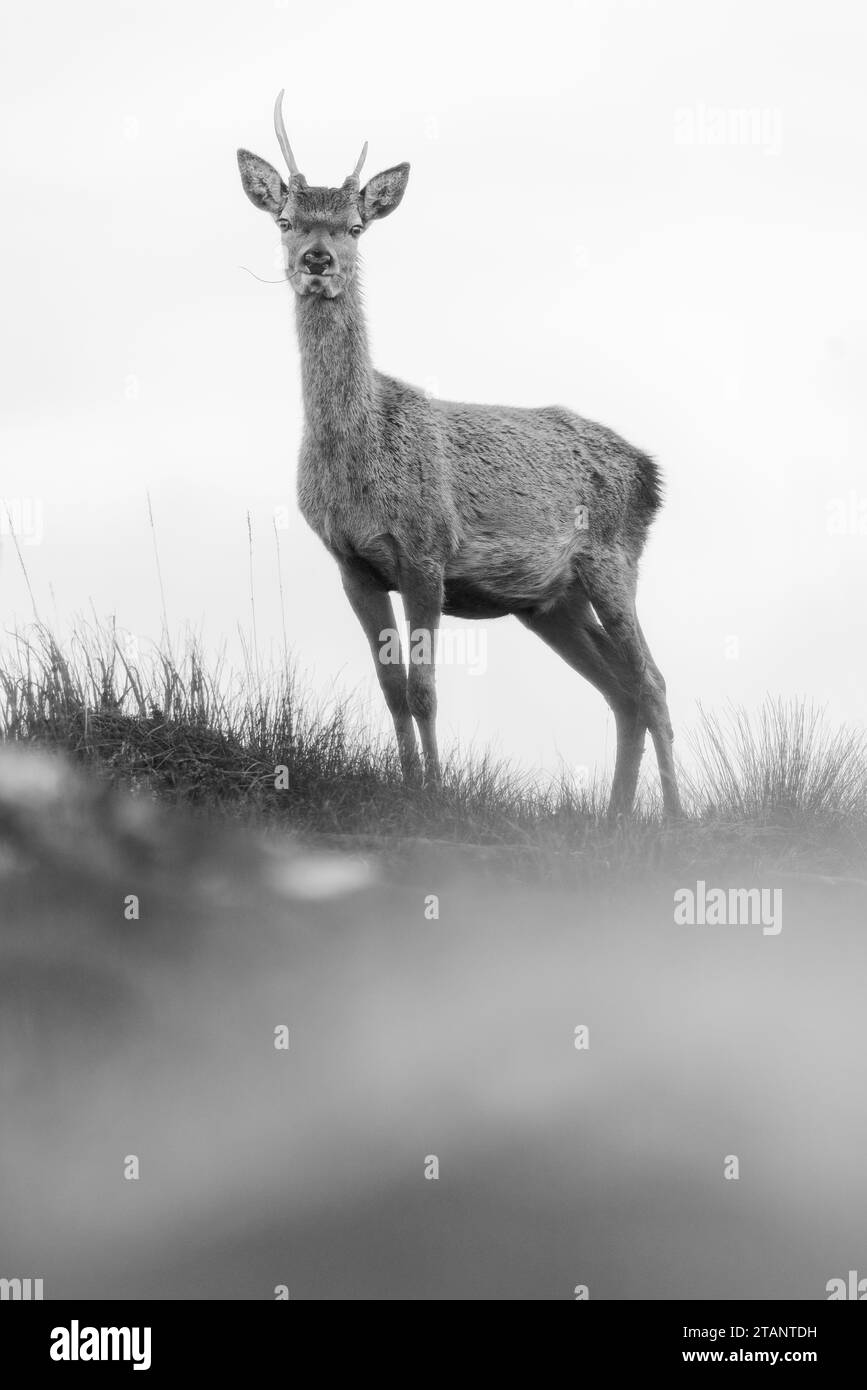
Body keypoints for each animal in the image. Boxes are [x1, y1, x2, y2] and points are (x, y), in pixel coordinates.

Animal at [237, 94, 682, 819]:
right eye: (284, 220)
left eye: (356, 227)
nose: (317, 258)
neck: (357, 460)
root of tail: (651, 472)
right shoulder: (351, 563)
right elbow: (391, 687)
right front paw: (408, 787)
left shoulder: (426, 551)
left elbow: (425, 689)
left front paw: (438, 795)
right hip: (550, 602)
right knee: (620, 691)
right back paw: (617, 818)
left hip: (614, 559)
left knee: (651, 682)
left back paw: (671, 816)